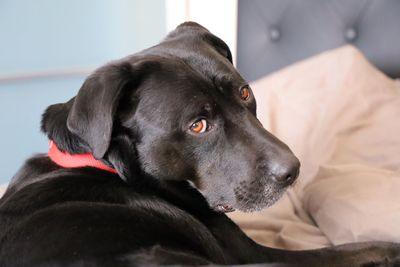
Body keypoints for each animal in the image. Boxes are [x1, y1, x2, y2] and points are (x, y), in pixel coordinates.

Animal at [0, 22, 400, 266]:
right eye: (198, 125)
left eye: (245, 93)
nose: (293, 170)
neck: (112, 166)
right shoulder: (252, 254)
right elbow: (357, 249)